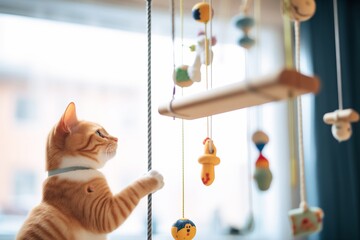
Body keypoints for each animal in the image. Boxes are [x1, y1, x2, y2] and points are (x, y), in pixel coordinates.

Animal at [16, 102, 164, 239]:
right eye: (99, 133)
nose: (117, 138)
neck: (71, 169)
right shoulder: (104, 214)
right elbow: (132, 189)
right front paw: (153, 177)